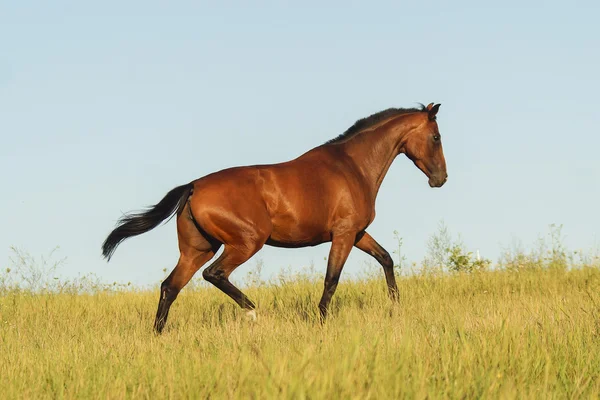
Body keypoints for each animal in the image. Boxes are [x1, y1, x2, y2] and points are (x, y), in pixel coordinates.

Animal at [102, 101, 446, 332]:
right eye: (436, 137)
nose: (441, 179)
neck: (352, 166)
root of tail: (193, 186)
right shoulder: (344, 234)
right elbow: (331, 280)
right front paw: (321, 323)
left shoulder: (358, 234)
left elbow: (386, 259)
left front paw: (396, 308)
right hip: (246, 243)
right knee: (214, 275)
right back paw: (253, 313)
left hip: (198, 249)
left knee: (170, 287)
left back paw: (158, 335)